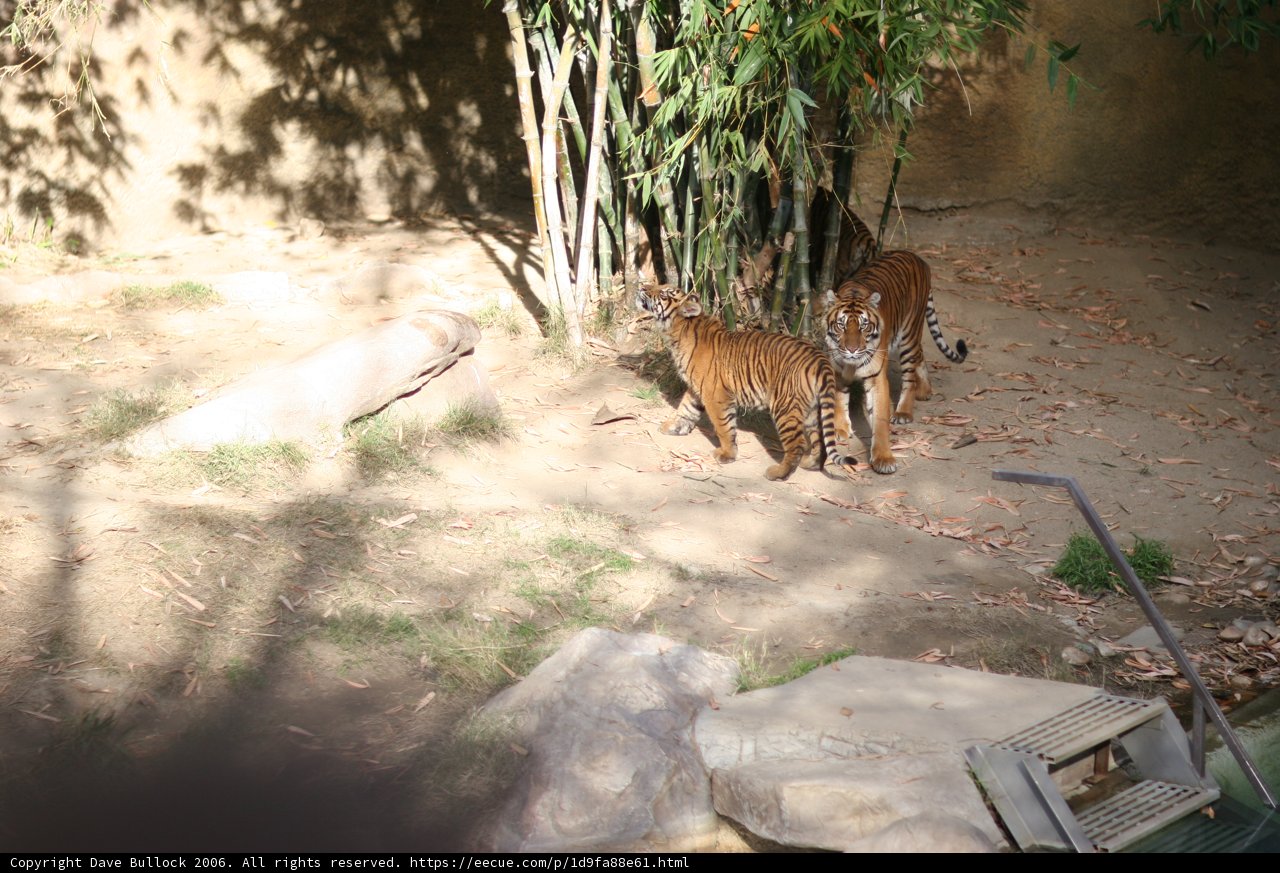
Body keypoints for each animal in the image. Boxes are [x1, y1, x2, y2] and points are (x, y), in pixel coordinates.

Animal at [637, 283, 851, 481]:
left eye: (664, 293)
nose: (642, 286)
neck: (679, 330)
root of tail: (820, 358)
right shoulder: (696, 388)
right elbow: (685, 409)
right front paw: (672, 426)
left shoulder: (715, 394)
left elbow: (724, 427)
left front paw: (727, 454)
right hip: (812, 410)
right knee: (819, 439)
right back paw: (811, 463)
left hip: (784, 406)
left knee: (797, 444)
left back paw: (778, 473)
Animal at [821, 250, 968, 475]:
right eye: (841, 325)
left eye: (864, 326)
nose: (852, 349)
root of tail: (919, 259)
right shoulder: (838, 370)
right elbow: (839, 399)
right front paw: (840, 428)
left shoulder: (877, 379)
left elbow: (880, 420)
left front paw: (883, 459)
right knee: (920, 355)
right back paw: (925, 391)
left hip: (909, 334)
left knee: (910, 375)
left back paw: (904, 411)